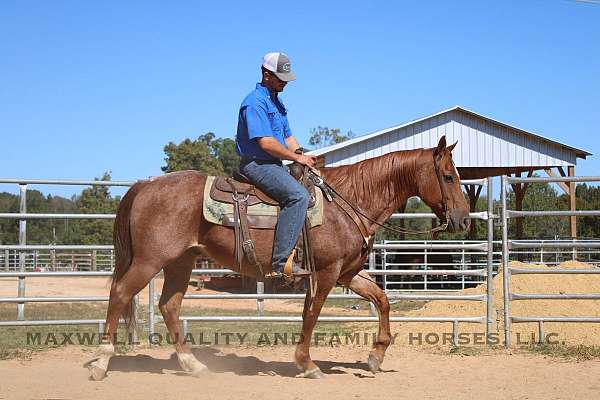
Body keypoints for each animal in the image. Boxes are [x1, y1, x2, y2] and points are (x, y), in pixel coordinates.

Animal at [89, 136, 472, 380]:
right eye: (449, 176)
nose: (464, 220)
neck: (348, 203)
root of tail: (145, 185)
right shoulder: (326, 273)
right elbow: (311, 315)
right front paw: (306, 364)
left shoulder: (348, 273)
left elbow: (382, 299)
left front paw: (376, 356)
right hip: (149, 261)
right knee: (120, 294)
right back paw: (101, 364)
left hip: (180, 262)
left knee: (168, 306)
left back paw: (193, 366)